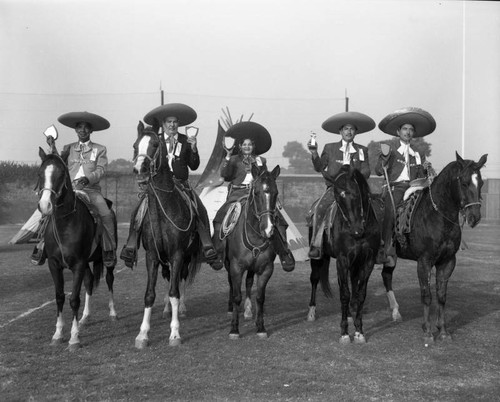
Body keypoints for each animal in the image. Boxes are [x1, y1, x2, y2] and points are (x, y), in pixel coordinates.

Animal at [36, 147, 117, 348]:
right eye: (40, 173)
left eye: (61, 174)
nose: (45, 205)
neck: (65, 224)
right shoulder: (54, 265)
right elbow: (59, 296)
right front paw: (58, 334)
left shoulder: (78, 264)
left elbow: (74, 299)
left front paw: (74, 338)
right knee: (89, 282)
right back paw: (85, 317)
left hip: (106, 260)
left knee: (109, 279)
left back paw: (113, 313)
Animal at [133, 121, 203, 348]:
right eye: (135, 145)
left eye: (155, 144)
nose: (139, 169)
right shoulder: (152, 256)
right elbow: (149, 294)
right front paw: (142, 334)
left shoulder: (178, 254)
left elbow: (175, 292)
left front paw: (174, 334)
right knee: (169, 277)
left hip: (186, 257)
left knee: (180, 279)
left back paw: (181, 308)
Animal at [223, 164, 282, 340]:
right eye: (256, 193)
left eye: (276, 193)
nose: (268, 229)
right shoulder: (236, 267)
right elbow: (237, 296)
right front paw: (234, 329)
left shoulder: (266, 269)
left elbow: (260, 297)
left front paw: (261, 326)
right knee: (232, 284)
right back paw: (231, 309)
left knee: (249, 282)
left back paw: (248, 310)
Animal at [304, 165, 378, 344]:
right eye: (337, 198)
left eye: (355, 193)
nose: (356, 230)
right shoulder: (342, 261)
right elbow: (344, 294)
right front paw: (344, 333)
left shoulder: (367, 261)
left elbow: (360, 294)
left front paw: (359, 331)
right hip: (319, 257)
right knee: (315, 279)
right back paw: (311, 312)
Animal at [380, 152, 486, 344]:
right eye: (464, 182)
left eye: (480, 182)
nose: (474, 217)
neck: (437, 216)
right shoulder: (424, 262)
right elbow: (427, 295)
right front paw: (428, 332)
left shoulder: (447, 261)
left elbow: (441, 296)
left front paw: (443, 331)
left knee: (386, 276)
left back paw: (395, 312)